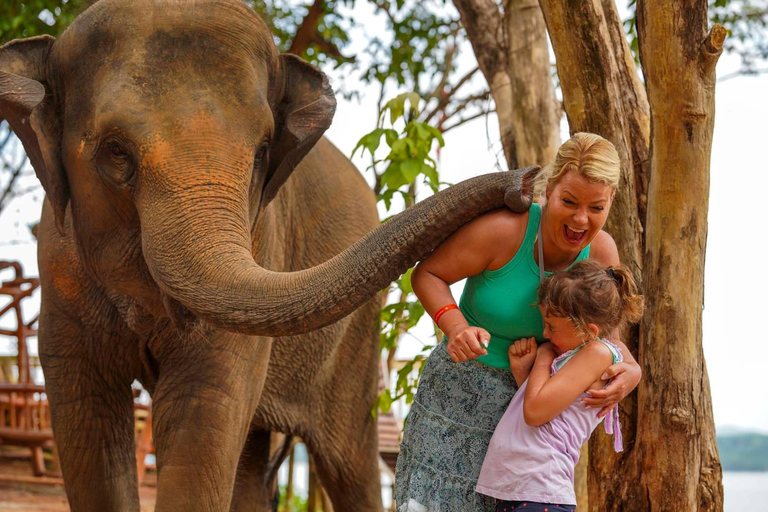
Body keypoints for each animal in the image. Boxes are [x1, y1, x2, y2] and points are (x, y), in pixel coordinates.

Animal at [0, 2, 540, 510]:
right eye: (115, 153)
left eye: (262, 151)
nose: (525, 183)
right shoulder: (58, 265)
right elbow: (87, 415)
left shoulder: (264, 241)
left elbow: (205, 406)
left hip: (356, 345)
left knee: (348, 462)